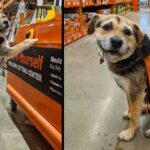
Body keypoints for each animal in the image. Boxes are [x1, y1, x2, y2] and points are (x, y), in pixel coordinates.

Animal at [88, 13, 150, 141]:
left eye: (127, 32)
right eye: (107, 27)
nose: (116, 42)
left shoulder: (136, 91)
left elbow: (134, 116)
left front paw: (129, 132)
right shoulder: (129, 91)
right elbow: (132, 107)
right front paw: (131, 114)